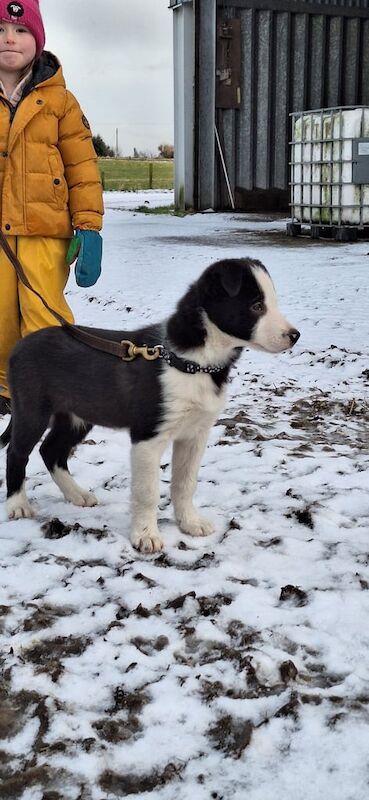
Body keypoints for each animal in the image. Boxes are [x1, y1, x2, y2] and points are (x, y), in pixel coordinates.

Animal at [0, 260, 298, 552]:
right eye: (256, 306)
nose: (295, 335)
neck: (193, 362)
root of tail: (20, 346)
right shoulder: (148, 435)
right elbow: (148, 492)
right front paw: (145, 536)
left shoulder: (195, 434)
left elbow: (185, 483)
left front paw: (189, 523)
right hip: (32, 409)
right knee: (17, 452)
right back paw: (18, 504)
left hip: (77, 415)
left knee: (51, 451)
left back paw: (77, 494)